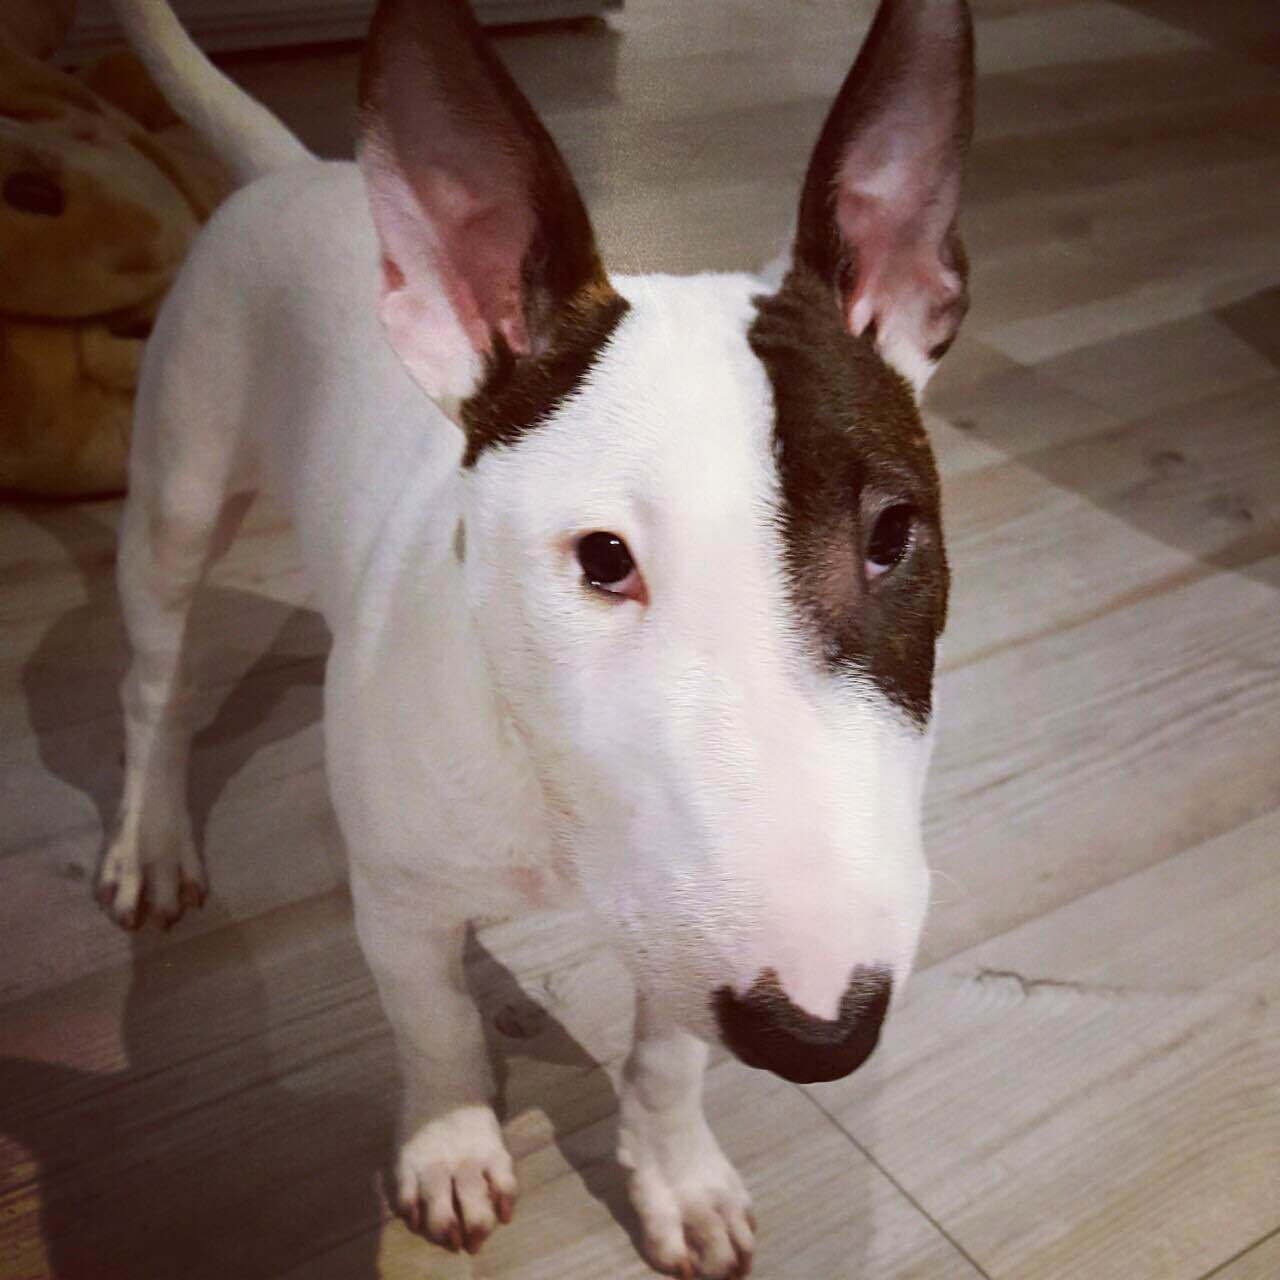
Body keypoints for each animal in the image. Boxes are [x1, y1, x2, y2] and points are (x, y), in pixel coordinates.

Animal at [97, 0, 973, 1274]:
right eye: (602, 558)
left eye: (893, 533)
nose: (819, 1033)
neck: (559, 811)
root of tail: (296, 169)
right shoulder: (400, 899)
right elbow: (435, 1022)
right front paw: (452, 1145)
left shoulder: (682, 914)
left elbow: (666, 1052)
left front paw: (676, 1176)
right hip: (179, 482)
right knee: (155, 682)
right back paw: (151, 839)